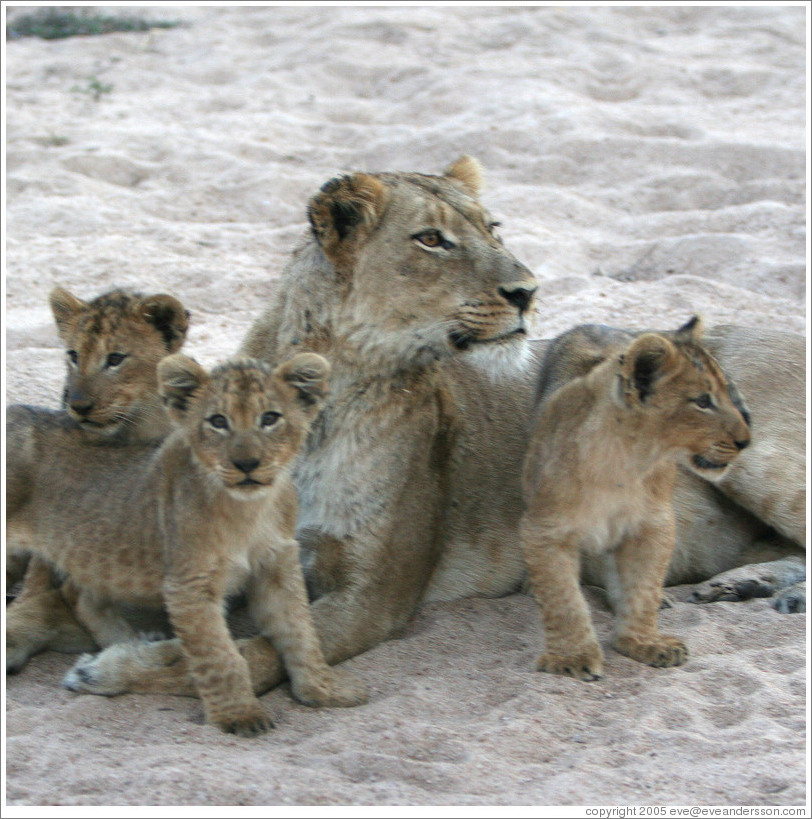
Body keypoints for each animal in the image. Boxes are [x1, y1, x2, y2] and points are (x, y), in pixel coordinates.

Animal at [10, 352, 367, 735]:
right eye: (218, 421)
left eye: (270, 418)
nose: (246, 463)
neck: (249, 509)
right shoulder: (190, 585)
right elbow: (220, 655)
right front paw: (239, 715)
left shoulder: (277, 566)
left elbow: (301, 631)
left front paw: (324, 690)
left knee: (83, 597)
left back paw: (128, 648)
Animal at [520, 317, 751, 681]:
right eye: (702, 401)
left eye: (727, 393)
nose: (746, 440)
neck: (627, 460)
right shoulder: (545, 529)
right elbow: (563, 600)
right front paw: (573, 657)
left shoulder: (653, 525)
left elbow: (642, 587)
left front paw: (643, 642)